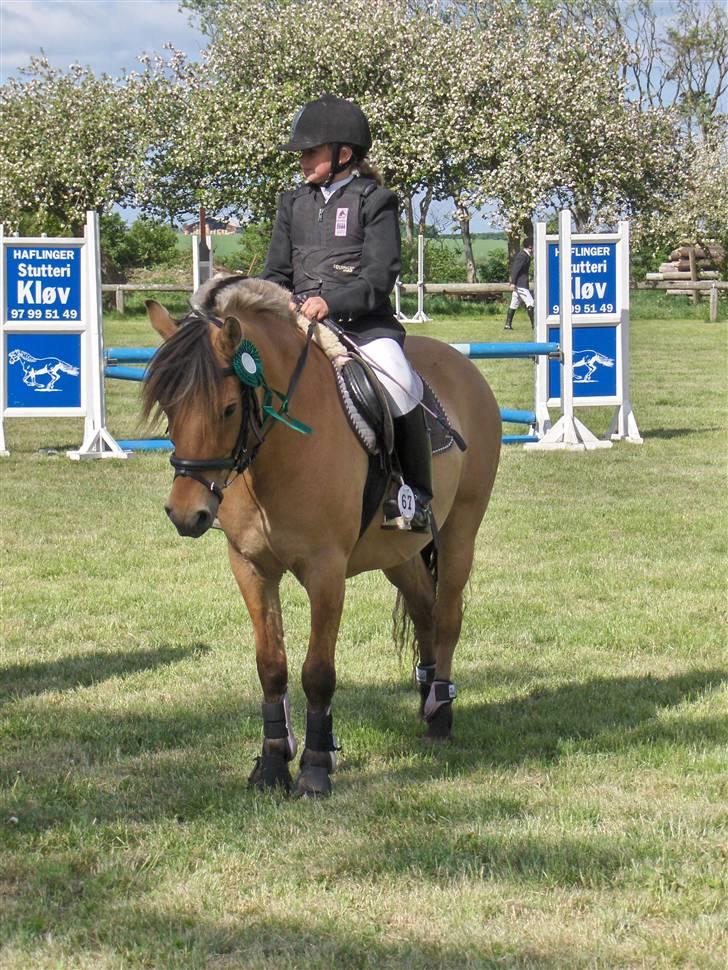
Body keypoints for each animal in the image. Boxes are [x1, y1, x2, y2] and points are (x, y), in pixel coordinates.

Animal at [142, 272, 500, 796]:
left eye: (228, 409)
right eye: (168, 406)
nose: (187, 515)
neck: (277, 452)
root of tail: (461, 365)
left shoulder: (325, 572)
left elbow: (317, 672)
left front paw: (314, 766)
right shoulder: (250, 567)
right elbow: (271, 666)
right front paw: (273, 762)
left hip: (460, 533)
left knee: (448, 617)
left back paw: (441, 716)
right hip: (398, 552)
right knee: (424, 611)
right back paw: (426, 700)